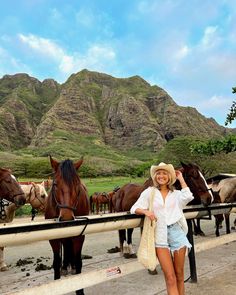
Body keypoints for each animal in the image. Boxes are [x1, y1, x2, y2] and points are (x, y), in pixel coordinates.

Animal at [44, 157, 89, 295]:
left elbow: (78, 261)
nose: (67, 218)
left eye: (77, 184)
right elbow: (56, 262)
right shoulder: (53, 238)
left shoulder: (80, 236)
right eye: (55, 184)